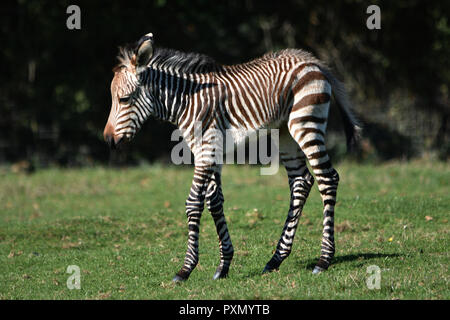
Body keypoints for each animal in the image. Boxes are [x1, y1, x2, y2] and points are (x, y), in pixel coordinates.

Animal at [103, 32, 360, 282]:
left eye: (124, 99)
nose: (108, 140)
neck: (187, 102)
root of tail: (311, 60)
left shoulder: (206, 149)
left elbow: (194, 203)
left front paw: (186, 269)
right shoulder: (210, 151)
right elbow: (215, 201)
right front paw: (223, 265)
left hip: (306, 123)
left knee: (327, 179)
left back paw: (323, 260)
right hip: (285, 133)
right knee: (301, 182)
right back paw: (276, 259)